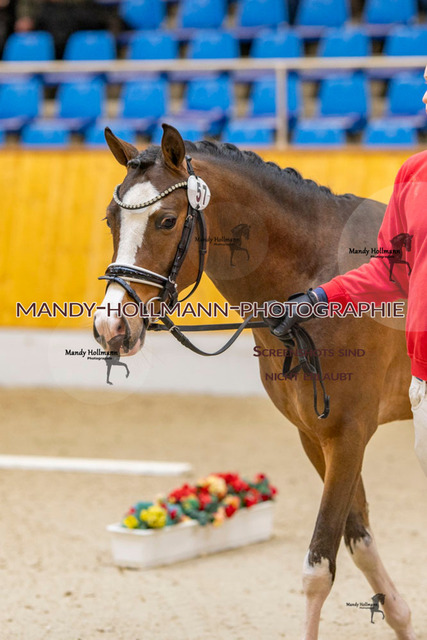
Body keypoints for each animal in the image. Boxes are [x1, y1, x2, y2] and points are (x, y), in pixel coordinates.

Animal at [93, 124, 415, 640]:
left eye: (166, 221)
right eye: (111, 220)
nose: (110, 326)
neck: (319, 278)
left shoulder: (348, 435)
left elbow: (318, 567)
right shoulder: (316, 437)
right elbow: (358, 539)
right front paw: (400, 616)